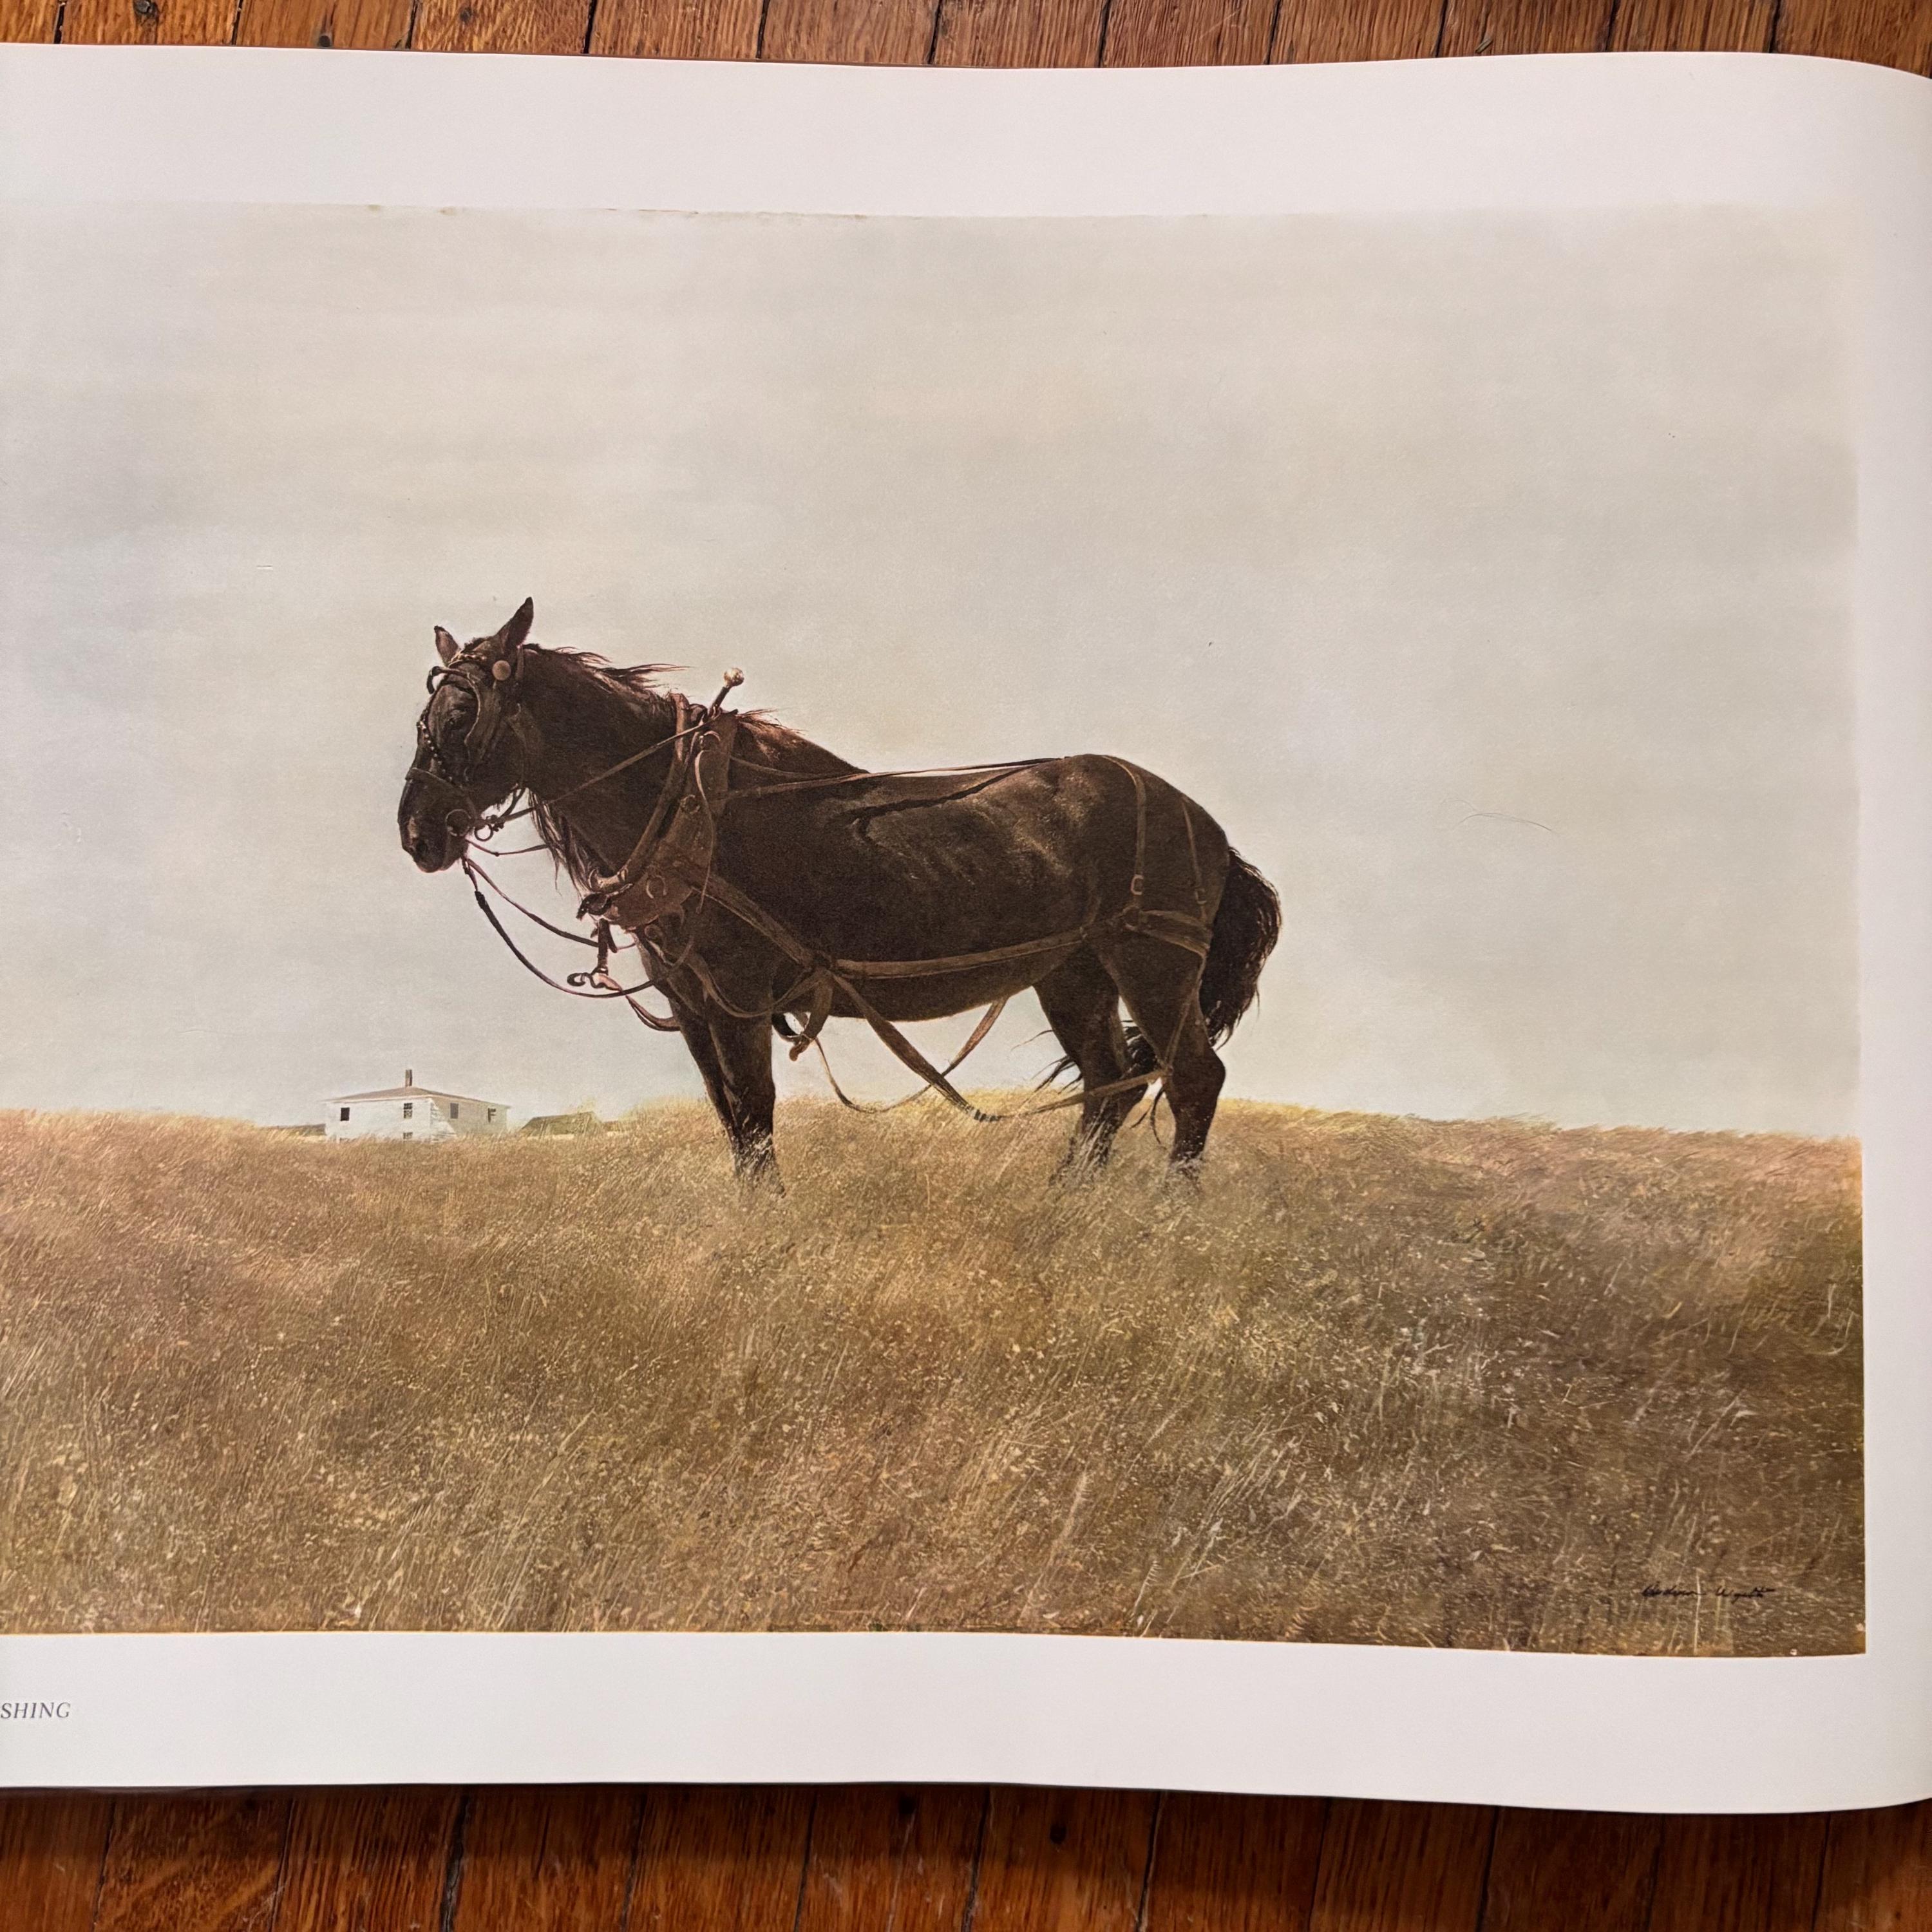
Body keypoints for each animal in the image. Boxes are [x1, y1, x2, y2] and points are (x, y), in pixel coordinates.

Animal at [397, 599, 1281, 1186]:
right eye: (425, 712)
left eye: (463, 712)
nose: (416, 834)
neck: (689, 806)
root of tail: (1205, 824)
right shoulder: (692, 1004)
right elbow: (730, 1119)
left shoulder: (739, 997)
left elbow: (754, 1112)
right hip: (1074, 973)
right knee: (1108, 1083)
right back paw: (1070, 1203)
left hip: (1153, 962)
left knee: (1192, 1079)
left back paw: (1169, 1212)